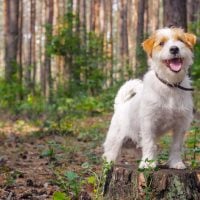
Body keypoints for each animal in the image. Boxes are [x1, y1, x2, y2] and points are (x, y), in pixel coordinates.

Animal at [103, 27, 197, 169]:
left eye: (180, 40)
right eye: (161, 43)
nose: (174, 49)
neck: (170, 85)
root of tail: (120, 106)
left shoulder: (181, 124)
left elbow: (176, 146)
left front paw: (176, 163)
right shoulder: (149, 123)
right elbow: (150, 144)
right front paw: (148, 164)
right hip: (114, 141)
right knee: (109, 155)